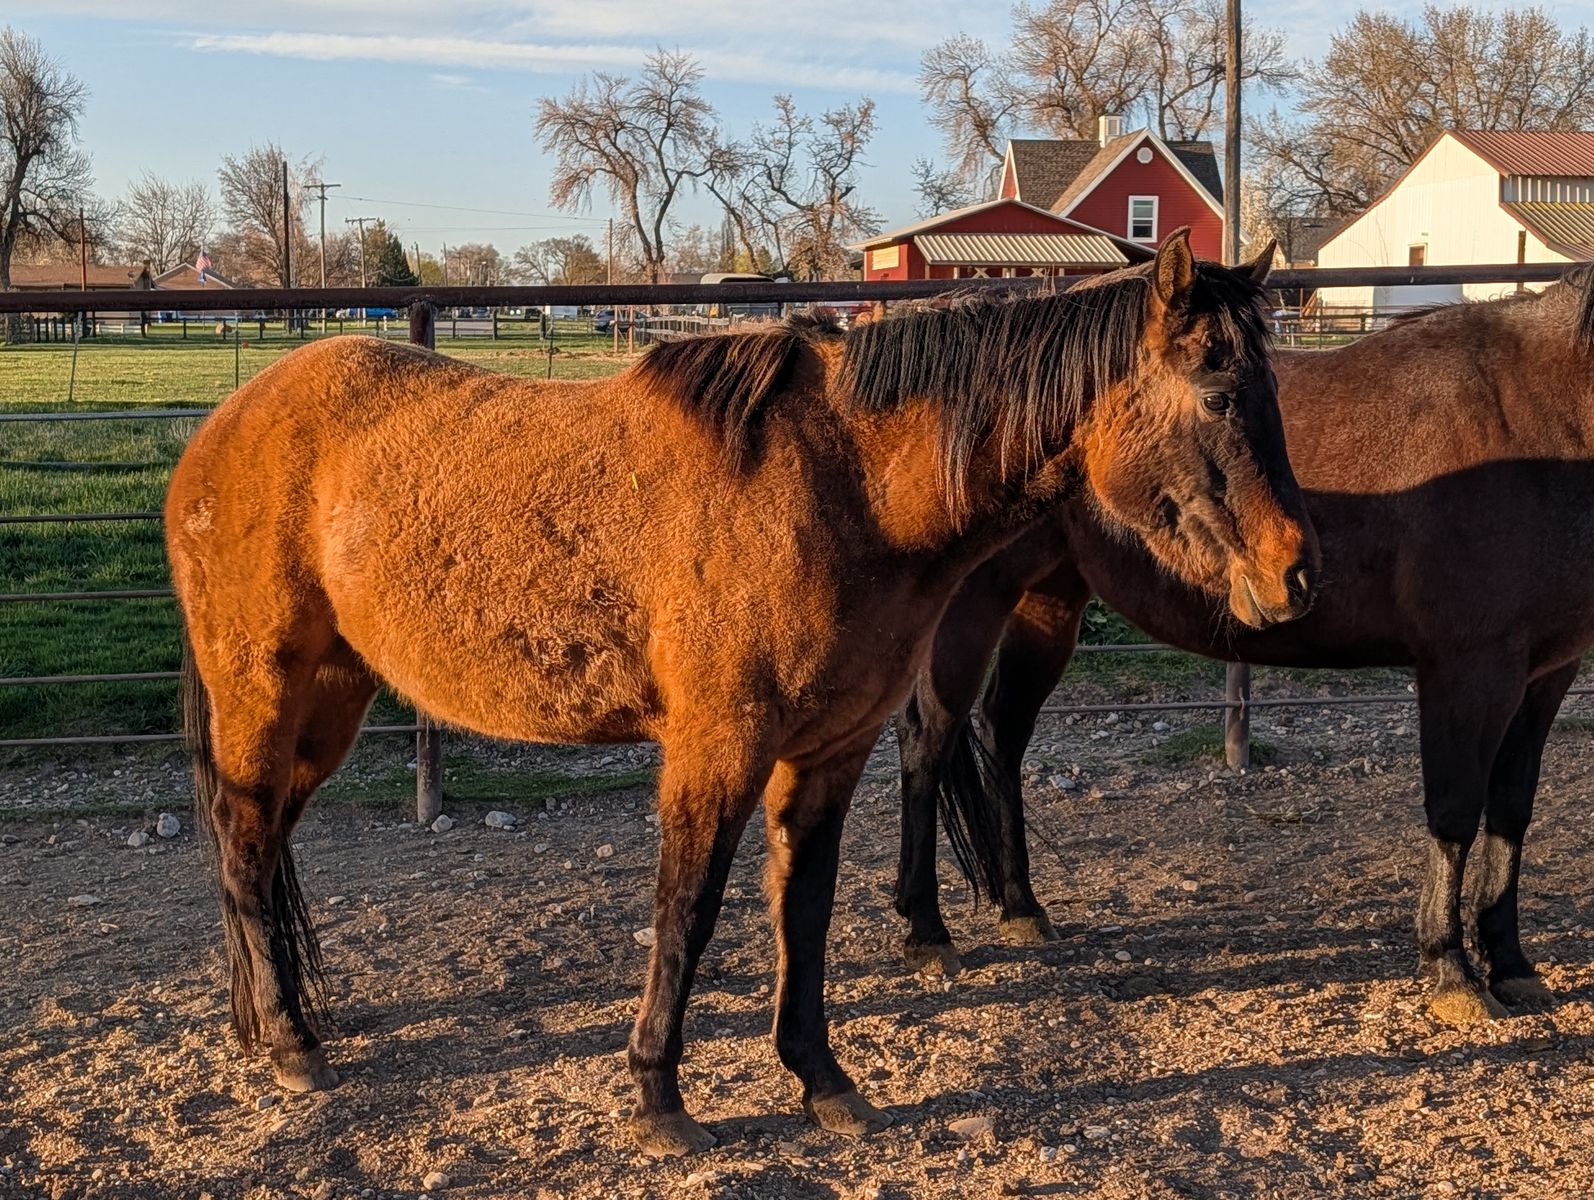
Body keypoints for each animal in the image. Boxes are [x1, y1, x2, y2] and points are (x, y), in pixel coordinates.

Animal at [165, 230, 1316, 1157]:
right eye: (1218, 394)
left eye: (1274, 393)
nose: (1295, 575)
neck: (845, 485)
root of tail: (223, 427)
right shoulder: (717, 747)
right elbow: (687, 910)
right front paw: (658, 1100)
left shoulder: (831, 749)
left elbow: (801, 905)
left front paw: (821, 1079)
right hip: (265, 692)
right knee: (244, 839)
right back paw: (290, 1042)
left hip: (331, 699)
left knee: (261, 838)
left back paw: (276, 1021)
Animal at [894, 271, 1594, 1027]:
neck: (1536, 412)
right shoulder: (1467, 671)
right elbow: (1456, 810)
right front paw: (1451, 970)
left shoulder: (1545, 675)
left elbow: (1511, 811)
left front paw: (1513, 965)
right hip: (970, 604)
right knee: (928, 738)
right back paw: (926, 929)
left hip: (1049, 601)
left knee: (1004, 728)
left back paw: (1021, 906)